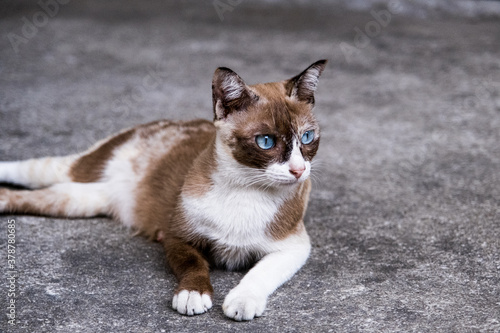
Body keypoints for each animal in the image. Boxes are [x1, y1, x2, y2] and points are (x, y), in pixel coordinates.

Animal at [0, 59, 326, 320]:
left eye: (307, 138)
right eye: (266, 142)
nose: (299, 170)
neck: (246, 188)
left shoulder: (293, 248)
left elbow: (260, 273)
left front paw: (243, 302)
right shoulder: (178, 236)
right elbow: (194, 265)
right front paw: (192, 296)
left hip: (78, 201)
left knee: (23, 197)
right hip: (72, 170)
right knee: (31, 169)